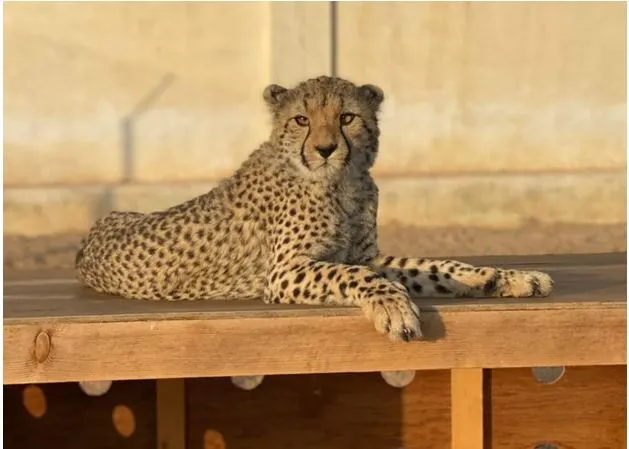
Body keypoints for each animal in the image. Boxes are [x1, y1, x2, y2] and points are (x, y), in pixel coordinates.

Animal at [75, 75, 554, 343]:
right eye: (302, 119)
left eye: (347, 118)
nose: (324, 149)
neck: (343, 182)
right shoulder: (286, 271)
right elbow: (356, 277)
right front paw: (394, 308)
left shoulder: (365, 255)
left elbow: (436, 266)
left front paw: (508, 277)